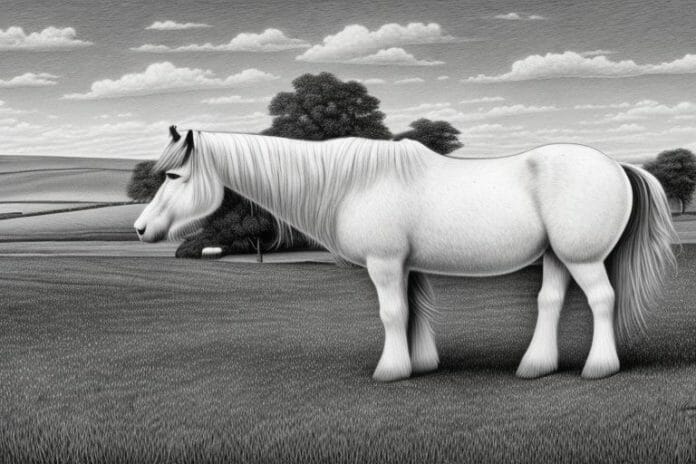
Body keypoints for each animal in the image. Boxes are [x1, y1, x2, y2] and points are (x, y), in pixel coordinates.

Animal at [134, 126, 677, 382]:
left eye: (174, 175)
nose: (141, 228)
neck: (355, 182)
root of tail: (617, 165)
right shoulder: (405, 266)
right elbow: (414, 313)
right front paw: (420, 364)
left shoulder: (385, 264)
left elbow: (393, 314)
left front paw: (391, 370)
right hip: (556, 257)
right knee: (550, 302)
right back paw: (536, 366)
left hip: (582, 258)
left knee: (602, 301)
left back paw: (599, 367)